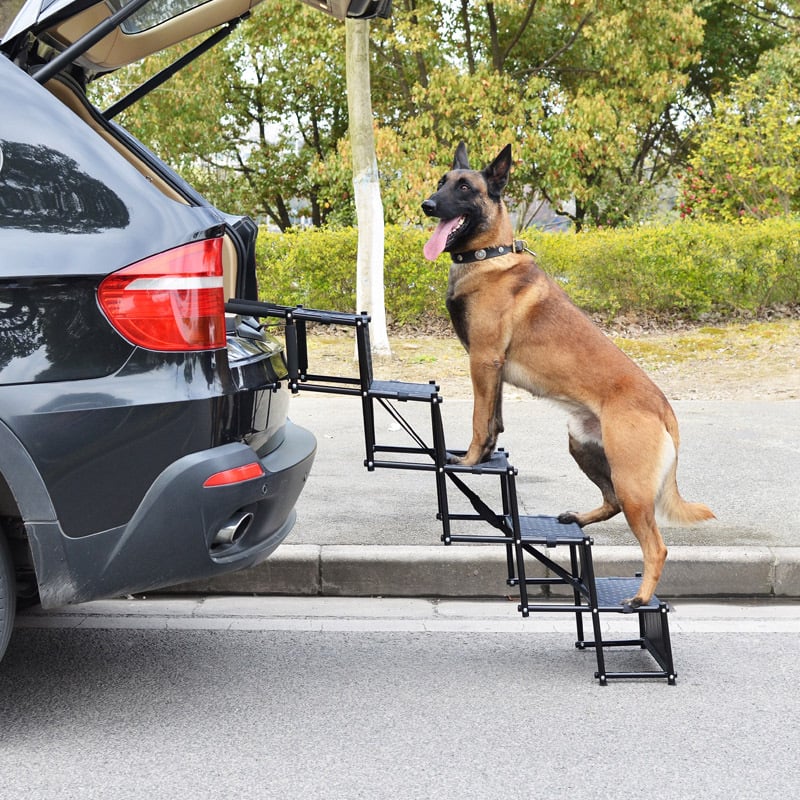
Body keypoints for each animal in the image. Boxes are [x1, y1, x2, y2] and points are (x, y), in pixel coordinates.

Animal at [422, 142, 716, 608]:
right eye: (441, 182)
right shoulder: (494, 370)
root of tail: (664, 407)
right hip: (582, 444)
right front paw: (485, 458)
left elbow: (478, 419)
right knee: (611, 501)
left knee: (656, 544)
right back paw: (578, 516)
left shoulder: (483, 361)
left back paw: (640, 598)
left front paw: (468, 461)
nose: (427, 205)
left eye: (465, 188)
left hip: (632, 482)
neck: (490, 256)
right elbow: (494, 421)